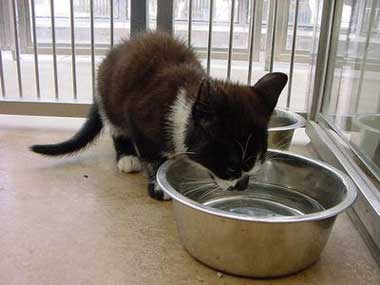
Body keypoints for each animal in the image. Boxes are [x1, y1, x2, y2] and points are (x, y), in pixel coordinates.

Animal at [30, 31, 288, 200]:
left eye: (258, 162)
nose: (243, 186)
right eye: (232, 165)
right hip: (110, 97)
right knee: (115, 126)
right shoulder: (138, 118)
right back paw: (126, 157)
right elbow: (152, 156)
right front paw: (156, 184)